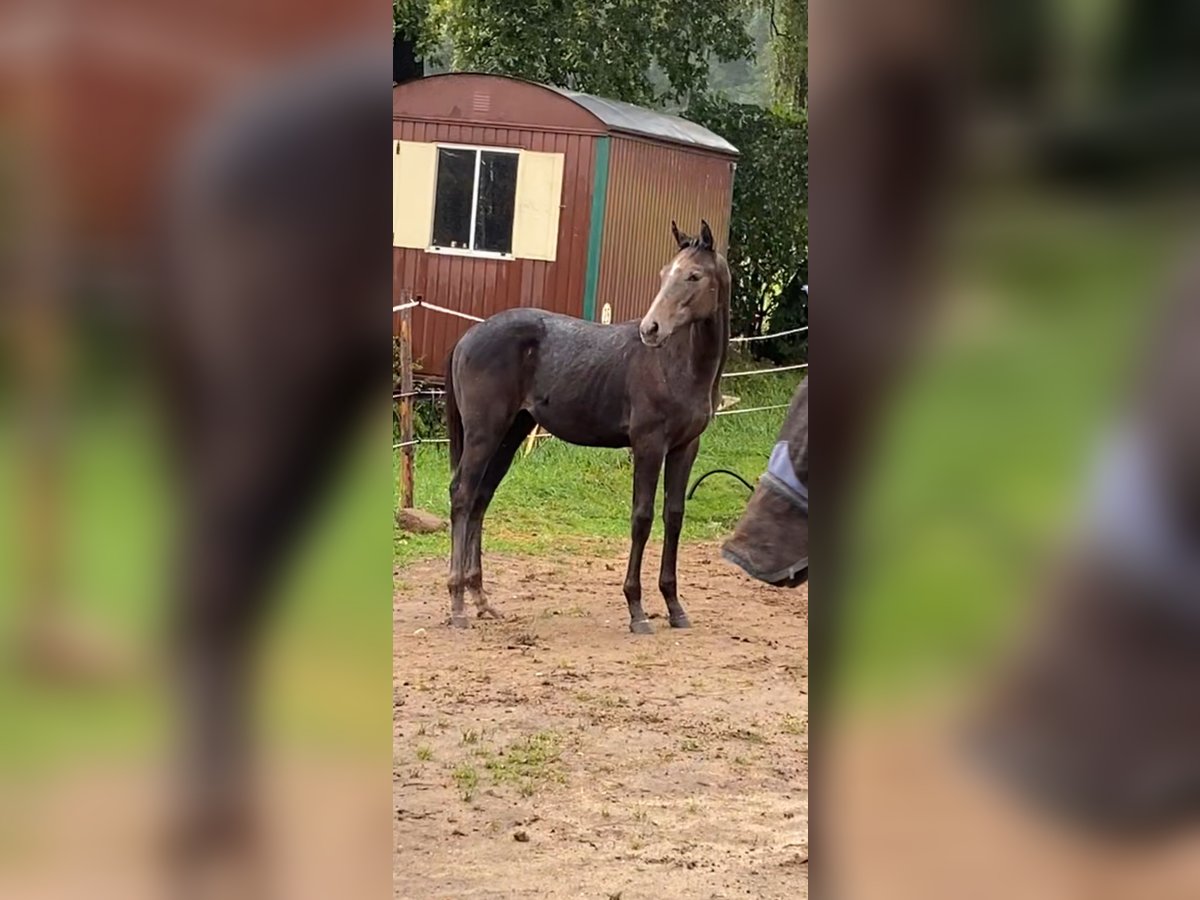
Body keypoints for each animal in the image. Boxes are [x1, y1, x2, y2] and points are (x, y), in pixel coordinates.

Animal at [444, 220, 729, 633]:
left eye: (693, 275)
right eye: (664, 274)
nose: (651, 329)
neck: (679, 365)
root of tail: (467, 337)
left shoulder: (685, 447)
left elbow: (673, 517)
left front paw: (675, 607)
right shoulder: (648, 445)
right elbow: (642, 518)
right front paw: (637, 610)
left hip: (510, 435)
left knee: (481, 499)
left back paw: (481, 600)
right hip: (484, 434)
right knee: (463, 496)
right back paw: (457, 606)